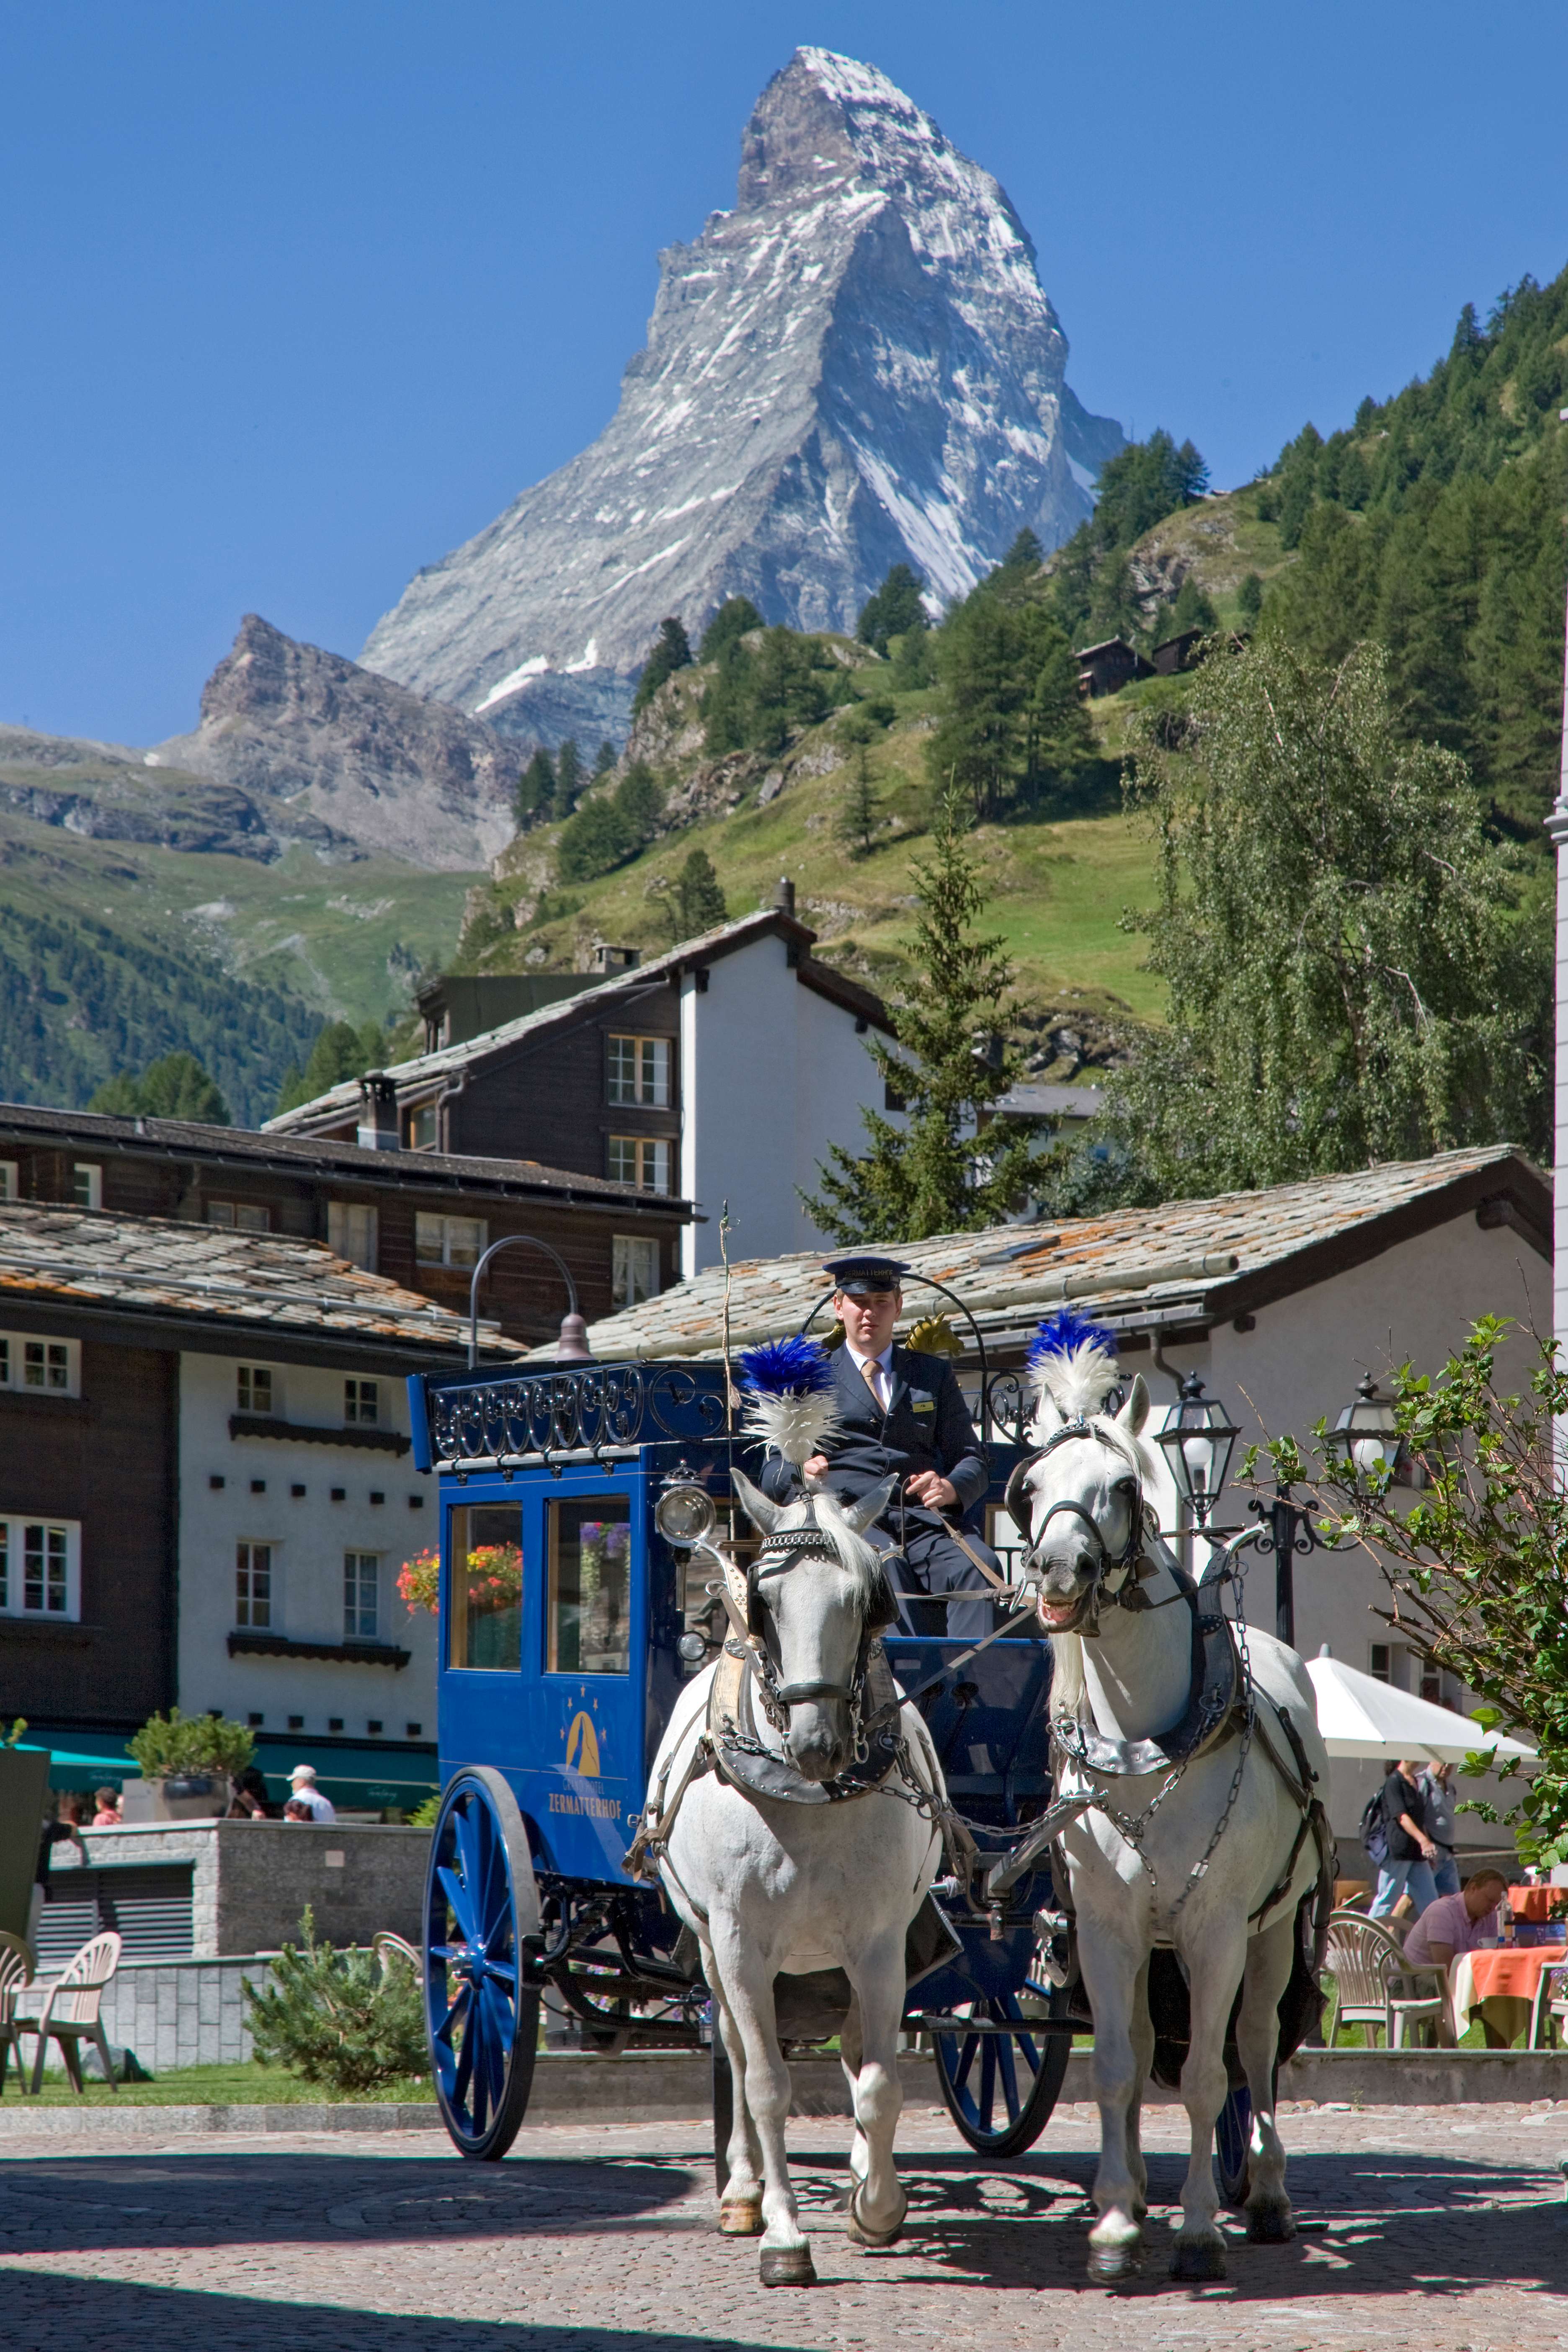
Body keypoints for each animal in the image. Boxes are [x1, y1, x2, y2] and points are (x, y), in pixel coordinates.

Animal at [644, 1477, 949, 2286]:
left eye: (869, 1602)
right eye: (763, 1600)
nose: (818, 1744)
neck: (806, 1797)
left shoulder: (879, 1943)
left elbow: (879, 2083)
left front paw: (876, 2206)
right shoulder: (740, 1943)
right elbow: (765, 2084)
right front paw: (783, 2236)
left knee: (854, 2050)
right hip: (714, 1951)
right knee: (736, 2048)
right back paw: (743, 2193)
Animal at [1011, 1336, 1335, 2286]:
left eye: (1121, 1486)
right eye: (1030, 1488)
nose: (1058, 1571)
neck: (1144, 1751)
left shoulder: (1217, 1930)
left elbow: (1201, 2078)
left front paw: (1196, 2232)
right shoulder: (1106, 1928)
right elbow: (1118, 2067)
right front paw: (1117, 2224)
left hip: (1273, 1929)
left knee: (1253, 2047)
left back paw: (1263, 2193)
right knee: (1147, 2038)